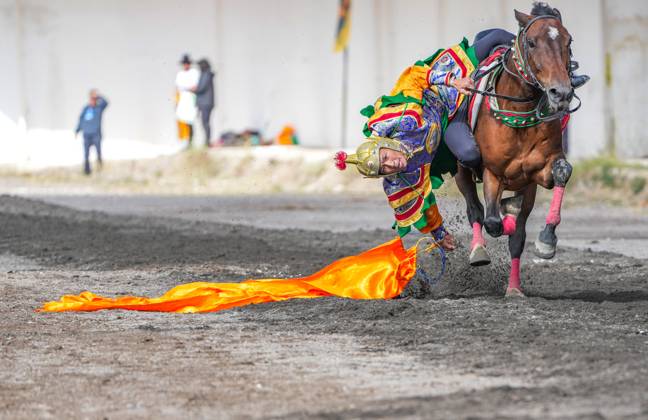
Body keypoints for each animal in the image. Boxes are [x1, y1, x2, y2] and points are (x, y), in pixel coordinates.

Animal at [456, 6, 578, 297]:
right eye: (531, 42)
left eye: (568, 42)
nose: (561, 92)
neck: (519, 114)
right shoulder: (492, 172)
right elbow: (491, 221)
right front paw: (502, 216)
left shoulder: (539, 171)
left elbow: (562, 172)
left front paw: (546, 241)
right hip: (461, 170)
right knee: (476, 210)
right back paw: (479, 249)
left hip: (526, 184)